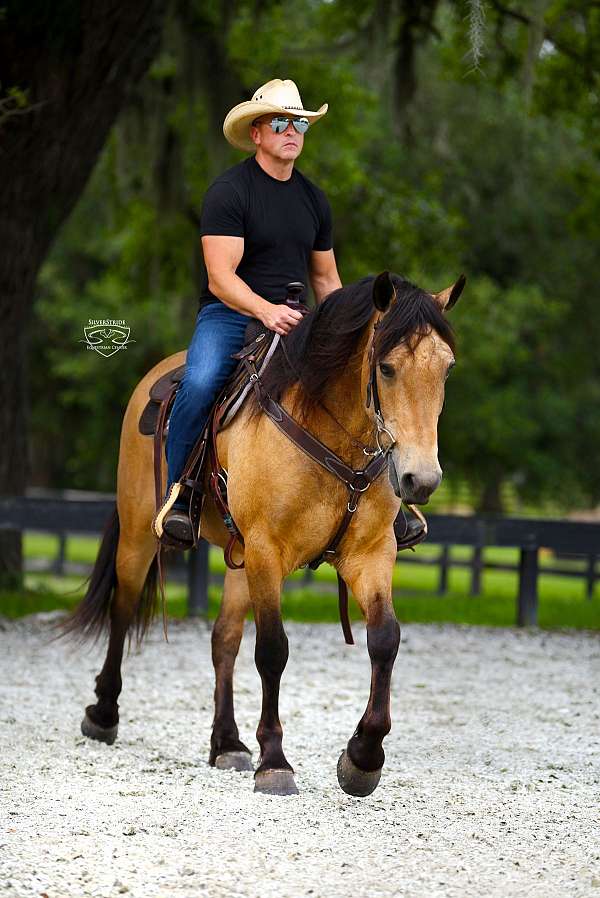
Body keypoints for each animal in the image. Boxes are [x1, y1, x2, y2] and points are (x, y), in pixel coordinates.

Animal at [61, 269, 464, 797]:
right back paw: (104, 714)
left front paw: (362, 757)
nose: (422, 479)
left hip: (239, 555)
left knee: (224, 639)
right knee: (124, 609)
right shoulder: (268, 552)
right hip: (141, 536)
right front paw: (275, 761)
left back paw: (227, 743)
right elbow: (273, 650)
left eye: (446, 370)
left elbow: (385, 640)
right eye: (388, 367)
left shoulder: (371, 555)